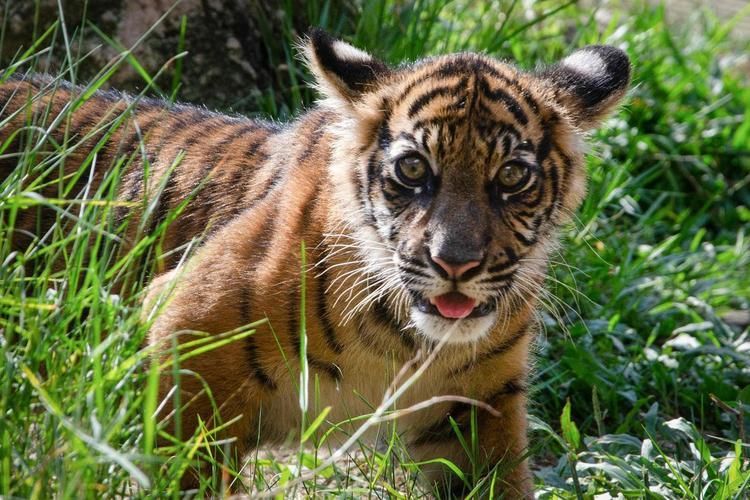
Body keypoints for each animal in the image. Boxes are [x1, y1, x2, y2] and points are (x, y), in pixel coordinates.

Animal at [0, 29, 630, 497]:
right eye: (413, 170)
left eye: (512, 177)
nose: (455, 264)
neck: (402, 344)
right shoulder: (183, 334)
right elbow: (183, 473)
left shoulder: (479, 408)